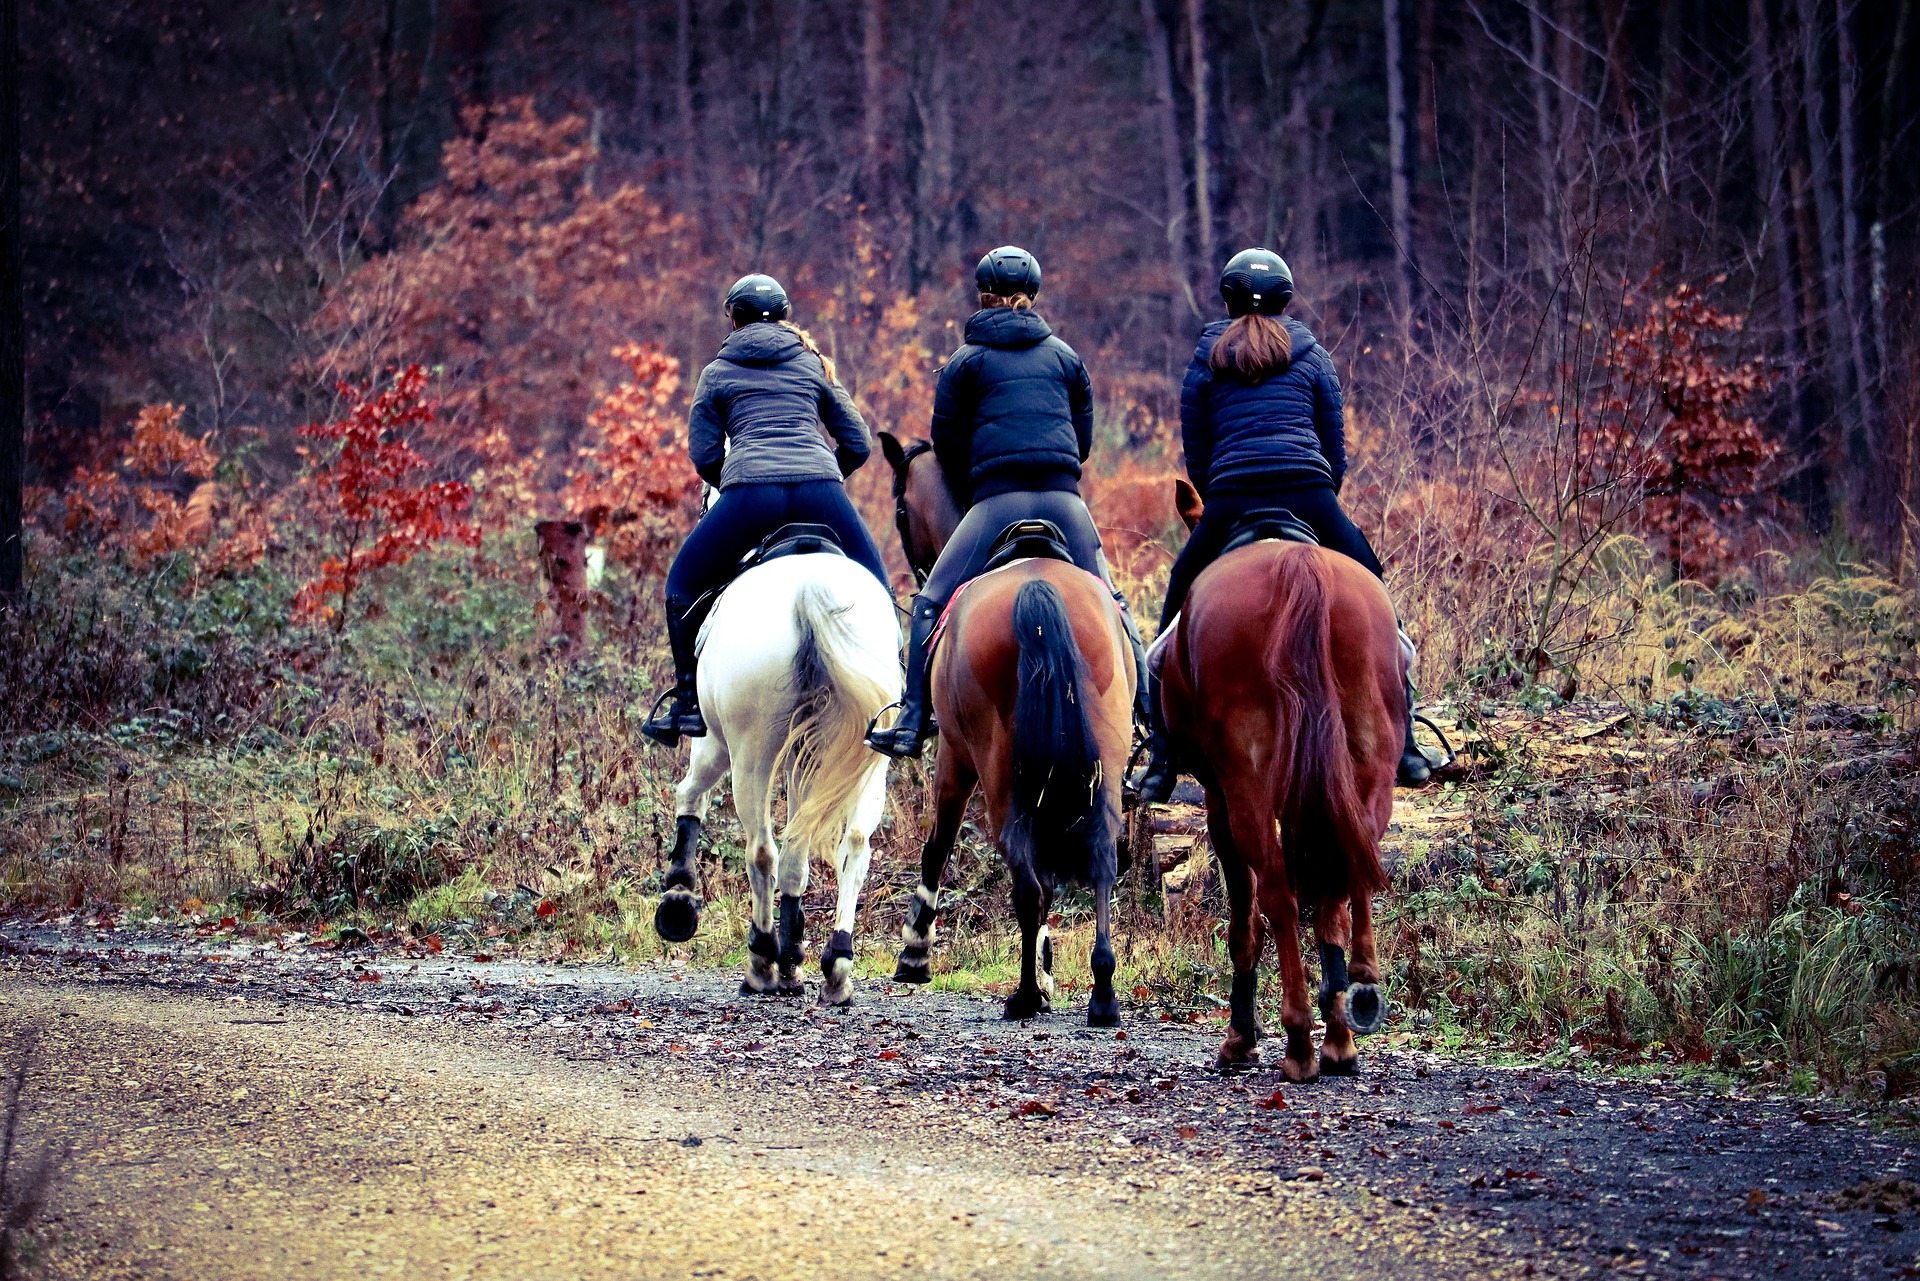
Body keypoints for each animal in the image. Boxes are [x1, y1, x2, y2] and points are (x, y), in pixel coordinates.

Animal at [648, 556, 902, 1006]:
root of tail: (808, 589)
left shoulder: (714, 741)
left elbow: (689, 795)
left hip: (750, 754)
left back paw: (762, 963)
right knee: (852, 846)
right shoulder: (808, 760)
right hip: (869, 757)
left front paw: (678, 898)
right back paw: (834, 968)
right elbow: (798, 859)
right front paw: (794, 957)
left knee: (761, 851)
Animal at [879, 430, 1128, 1021]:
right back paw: (1102, 994)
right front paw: (1049, 963)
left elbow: (937, 846)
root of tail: (1037, 587)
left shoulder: (953, 756)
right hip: (1101, 760)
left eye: (900, 512)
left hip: (996, 770)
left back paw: (1025, 996)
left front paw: (915, 953)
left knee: (1023, 869)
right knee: (1098, 857)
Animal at [1152, 476, 1397, 1075]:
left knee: (1280, 897)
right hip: (1368, 769)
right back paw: (1342, 1031)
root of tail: (1297, 565)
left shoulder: (1218, 799)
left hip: (1246, 788)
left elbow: (1244, 918)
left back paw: (1299, 1040)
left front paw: (1241, 1037)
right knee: (1341, 881)